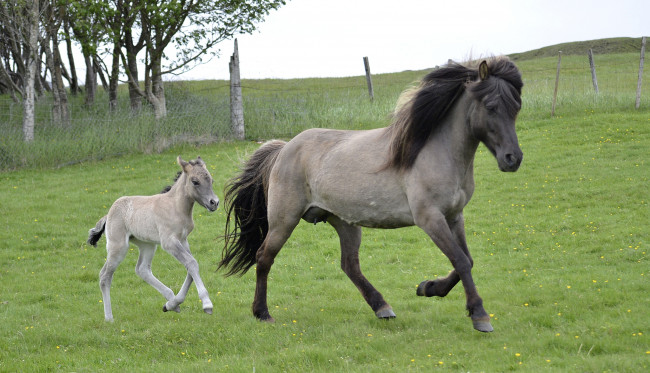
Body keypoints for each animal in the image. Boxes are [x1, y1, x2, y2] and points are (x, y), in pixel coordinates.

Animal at [87, 155, 219, 322]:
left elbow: (191, 267)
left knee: (142, 269)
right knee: (105, 276)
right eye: (195, 181)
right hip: (118, 247)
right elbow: (192, 263)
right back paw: (109, 318)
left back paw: (171, 301)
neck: (176, 207)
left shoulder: (183, 240)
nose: (214, 203)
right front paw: (207, 304)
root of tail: (109, 213)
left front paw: (172, 304)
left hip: (147, 245)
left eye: (211, 180)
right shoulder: (169, 242)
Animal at [218, 56, 520, 330]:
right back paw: (262, 313)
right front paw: (479, 314)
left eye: (516, 107)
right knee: (264, 258)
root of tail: (283, 149)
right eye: (491, 106)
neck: (435, 152)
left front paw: (429, 287)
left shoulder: (455, 216)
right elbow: (460, 260)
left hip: (345, 222)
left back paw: (382, 307)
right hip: (284, 220)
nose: (513, 159)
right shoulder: (430, 218)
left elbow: (467, 260)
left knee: (349, 265)